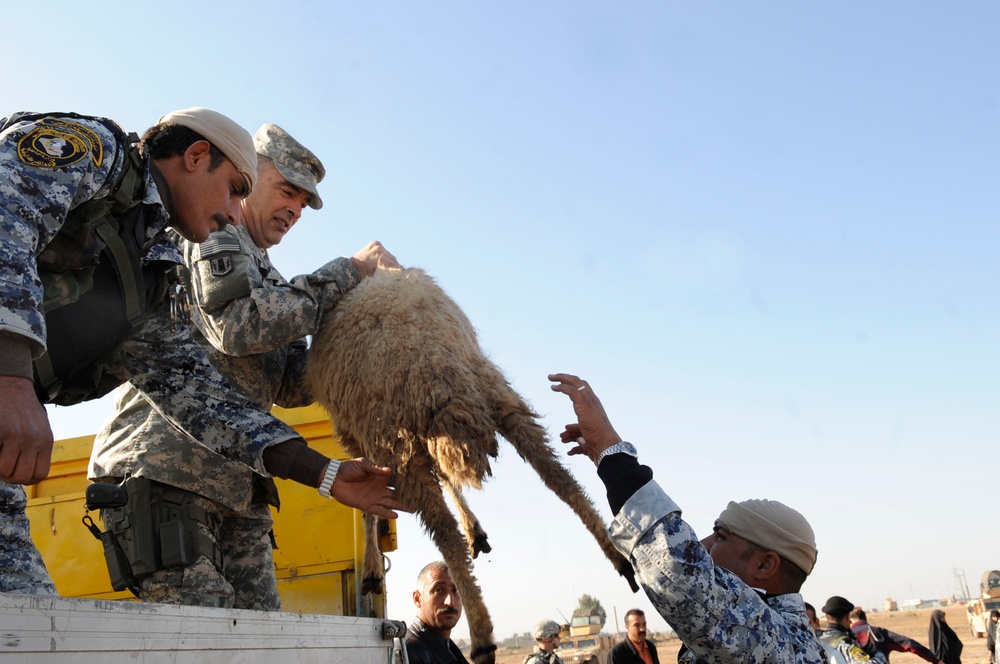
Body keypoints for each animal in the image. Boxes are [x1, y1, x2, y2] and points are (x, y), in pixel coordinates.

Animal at [304, 268, 636, 664]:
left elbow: (368, 508)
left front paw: (370, 569)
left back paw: (481, 636)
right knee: (560, 480)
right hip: (500, 399)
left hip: (399, 439)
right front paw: (475, 529)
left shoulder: (357, 437)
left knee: (446, 535)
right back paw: (618, 556)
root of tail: (434, 368)